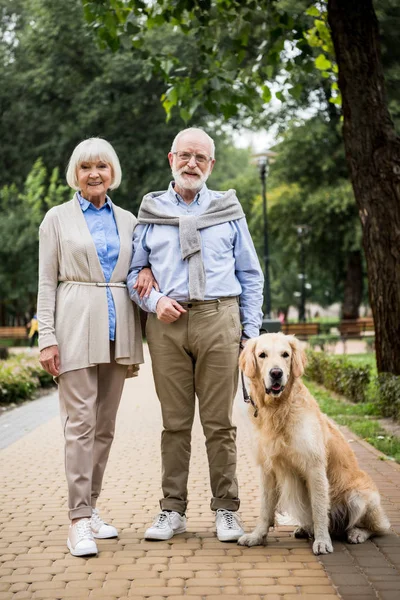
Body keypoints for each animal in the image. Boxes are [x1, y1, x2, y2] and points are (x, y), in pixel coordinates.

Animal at [239, 332, 390, 552]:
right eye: (262, 355)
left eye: (285, 354)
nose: (276, 373)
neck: (278, 409)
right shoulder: (268, 469)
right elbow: (265, 509)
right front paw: (257, 536)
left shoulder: (314, 467)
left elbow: (319, 508)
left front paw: (322, 542)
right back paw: (305, 529)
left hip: (358, 497)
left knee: (379, 528)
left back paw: (357, 533)